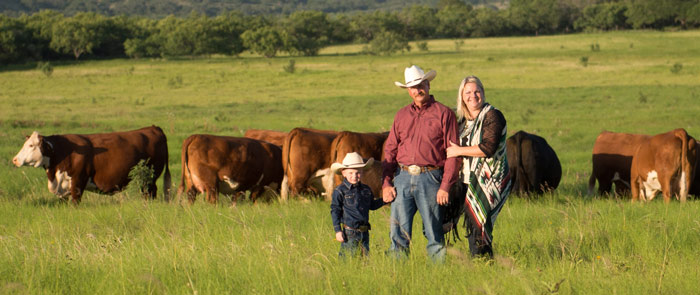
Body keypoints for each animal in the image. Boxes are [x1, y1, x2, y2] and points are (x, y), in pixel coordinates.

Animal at [11, 126, 172, 205]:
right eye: (26, 144)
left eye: (31, 145)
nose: (15, 160)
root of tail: (152, 128)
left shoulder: (77, 183)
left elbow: (75, 202)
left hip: (150, 177)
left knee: (150, 193)